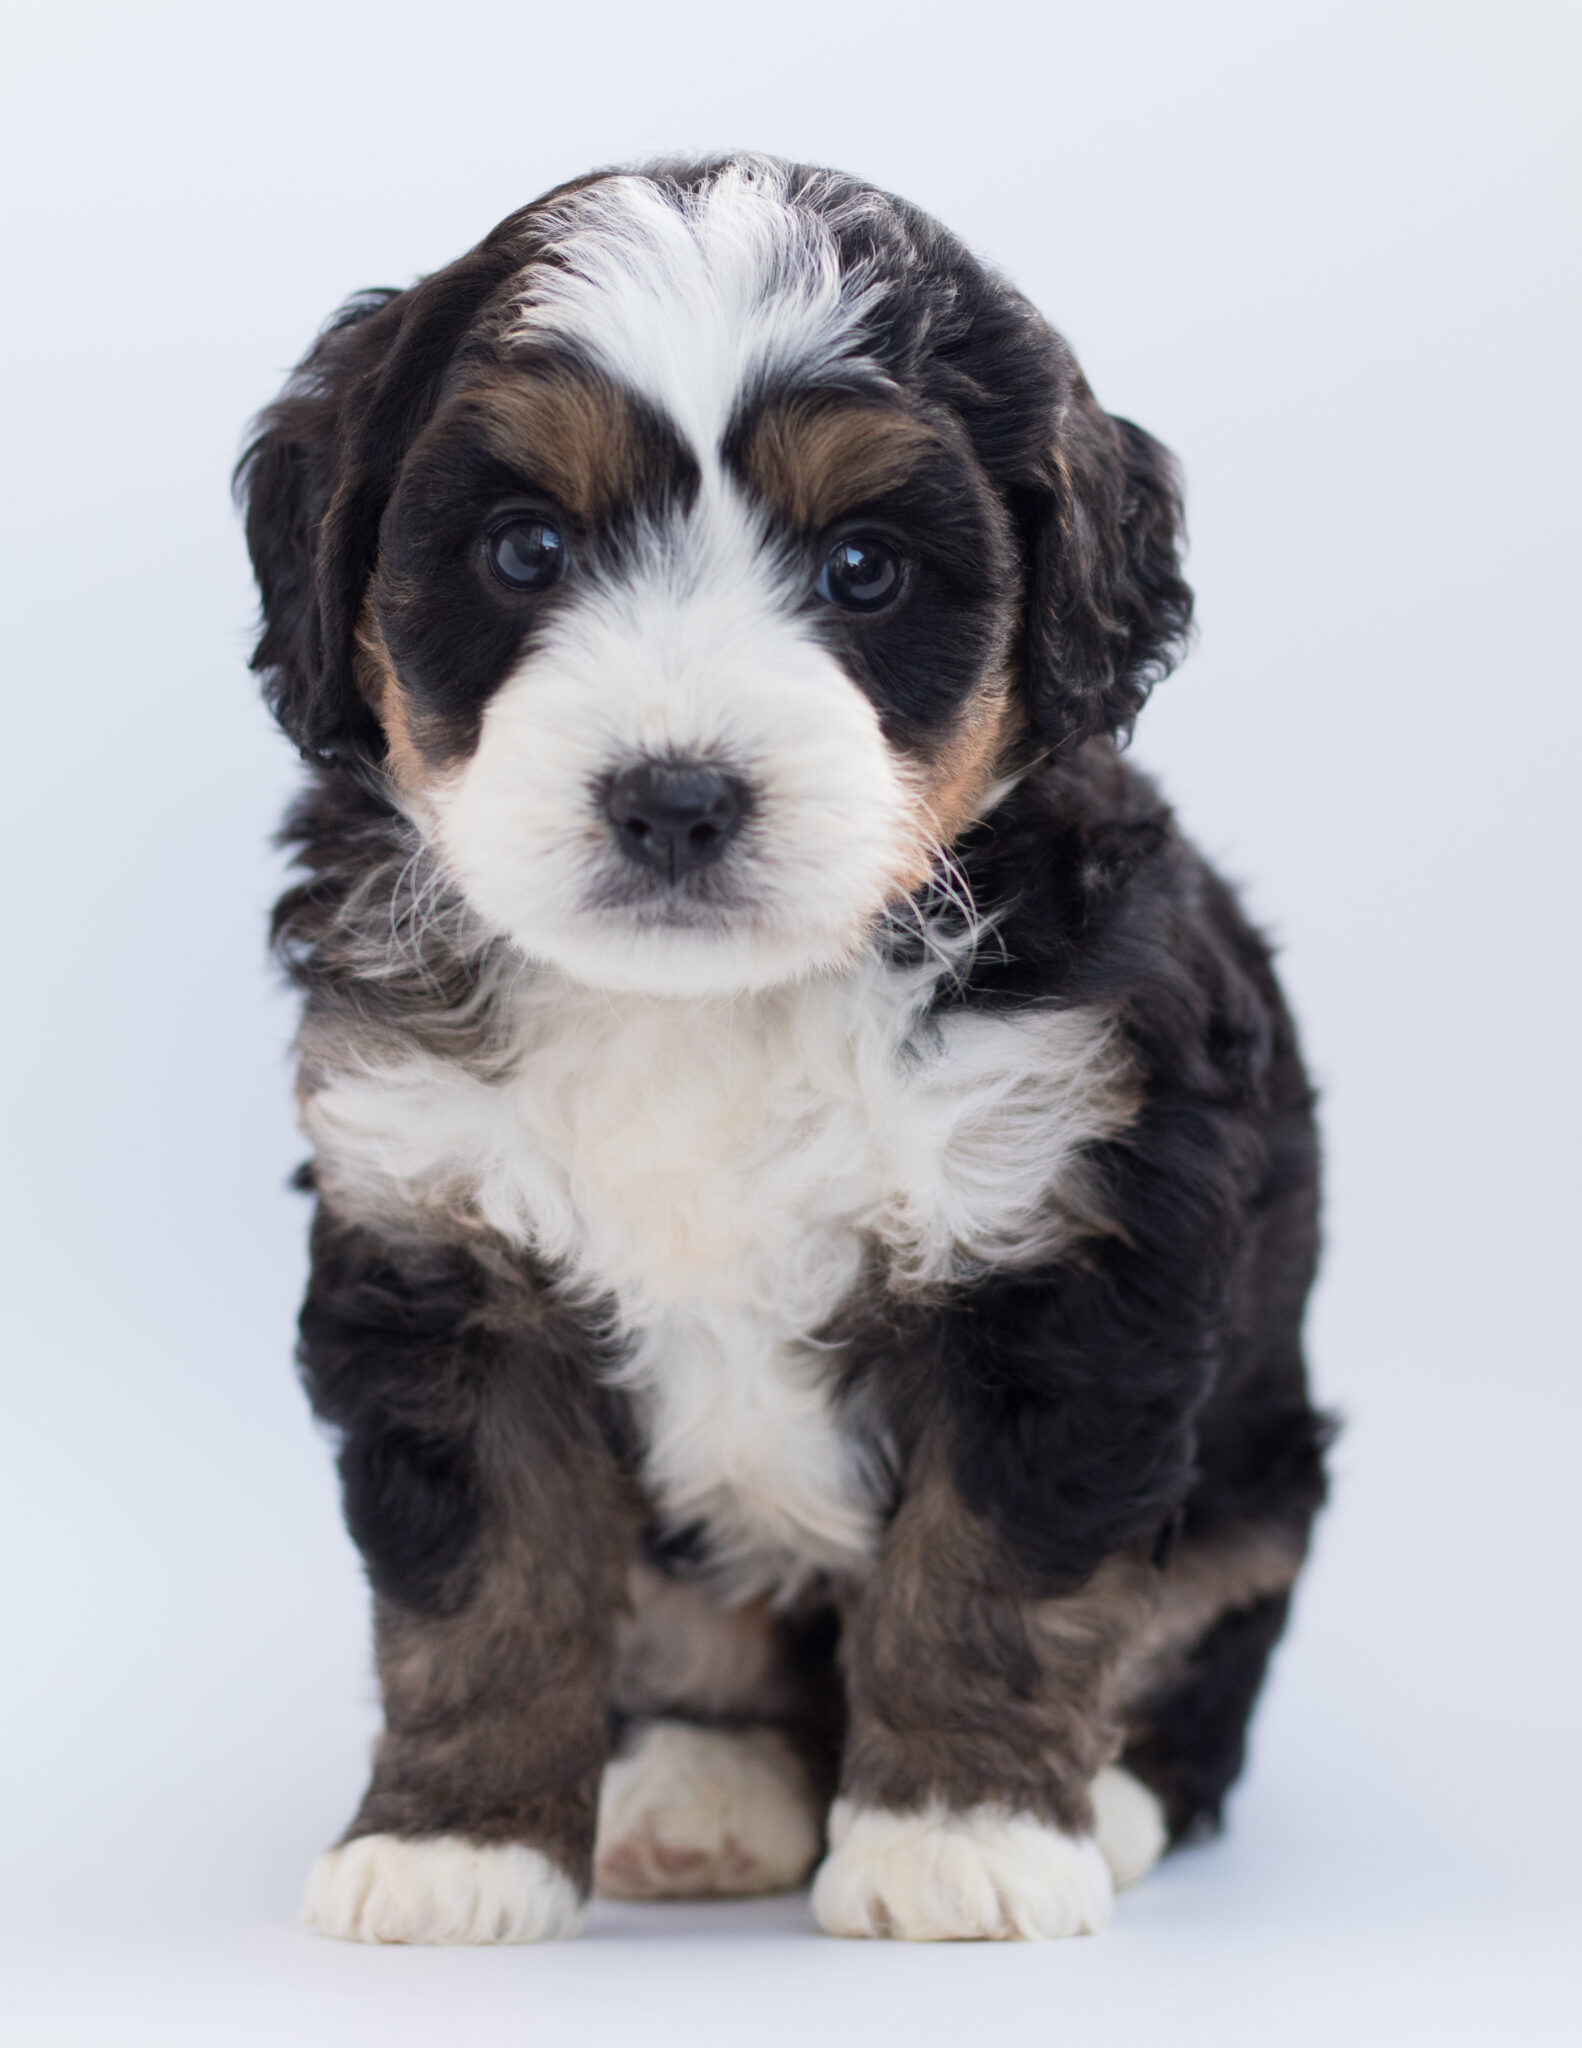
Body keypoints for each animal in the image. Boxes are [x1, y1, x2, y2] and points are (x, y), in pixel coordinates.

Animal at [240, 151, 1327, 1941]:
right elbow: (483, 1584)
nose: (674, 797)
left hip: (1259, 1480)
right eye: (525, 547)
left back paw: (1100, 1801)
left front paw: (961, 1830)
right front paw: (459, 1844)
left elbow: (1000, 1567)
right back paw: (699, 1782)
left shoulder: (1070, 1244)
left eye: (864, 570)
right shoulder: (437, 1241)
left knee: (1198, 1652)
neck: (713, 1008)